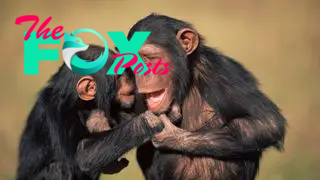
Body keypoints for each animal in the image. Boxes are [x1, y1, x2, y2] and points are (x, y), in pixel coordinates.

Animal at [15, 45, 178, 180]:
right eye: (119, 75)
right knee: (58, 169)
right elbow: (81, 154)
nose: (130, 77)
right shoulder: (59, 116)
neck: (81, 105)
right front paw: (150, 120)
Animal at [127, 13, 288, 180]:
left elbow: (266, 123)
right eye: (133, 60)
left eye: (150, 58)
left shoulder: (218, 71)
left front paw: (171, 136)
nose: (141, 73)